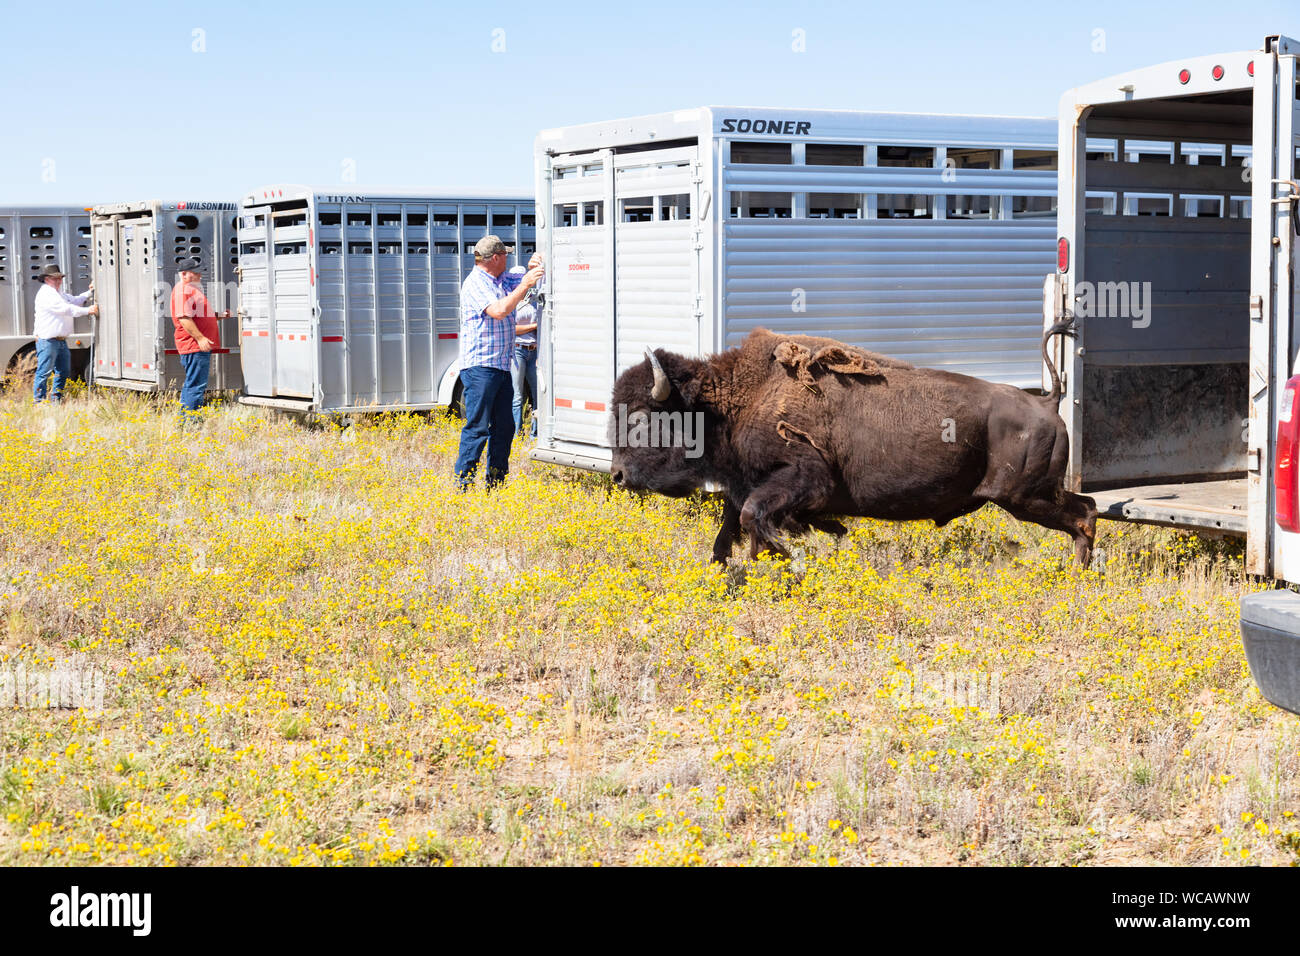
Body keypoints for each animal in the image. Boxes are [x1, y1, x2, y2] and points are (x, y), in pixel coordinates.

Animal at [608, 325, 1097, 567]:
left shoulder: (802, 479)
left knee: (1084, 515)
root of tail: (1047, 401)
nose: (618, 474)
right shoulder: (744, 485)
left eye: (641, 417)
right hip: (1031, 497)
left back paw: (1076, 576)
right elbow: (730, 529)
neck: (733, 399)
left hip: (1024, 497)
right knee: (1086, 509)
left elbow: (753, 520)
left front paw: (786, 559)